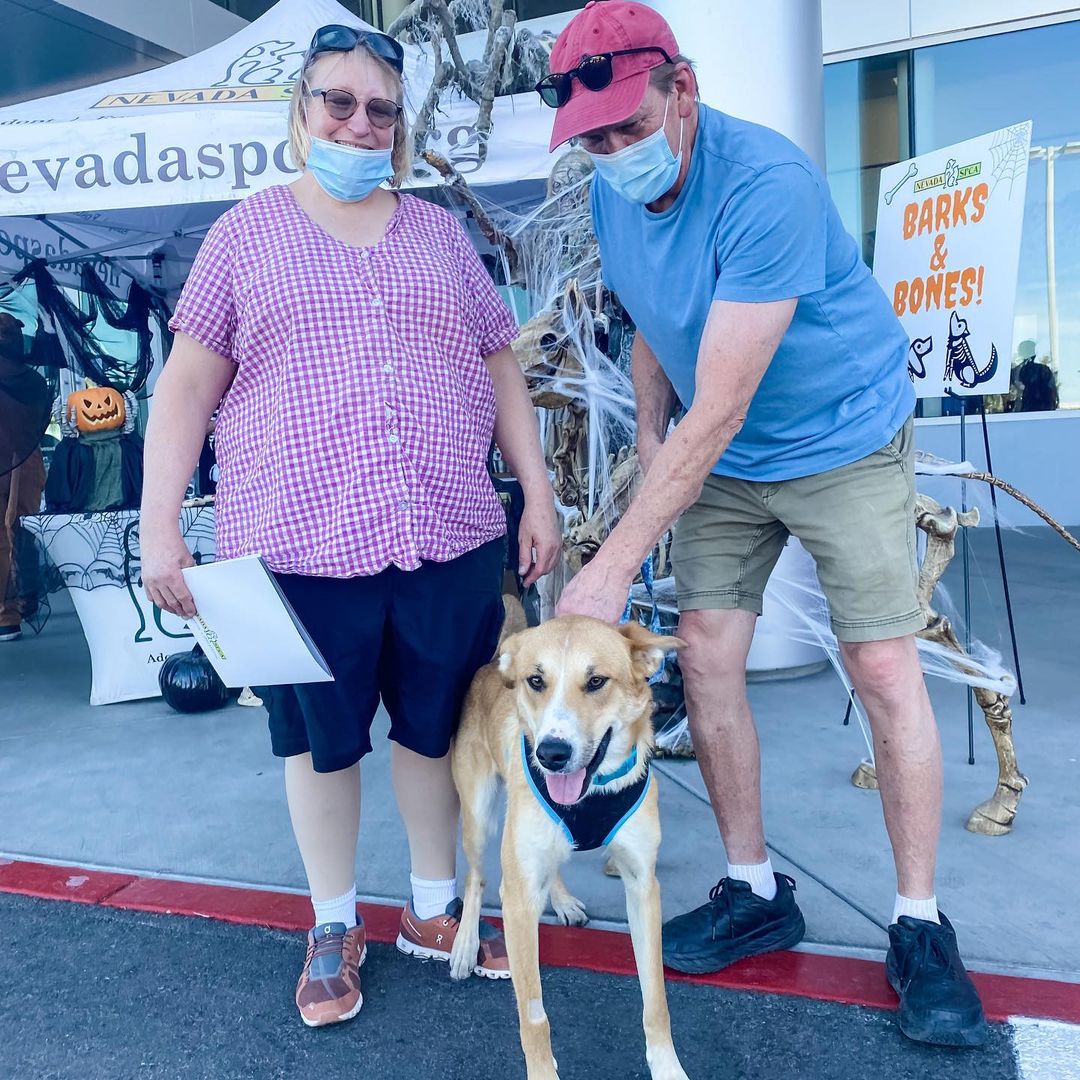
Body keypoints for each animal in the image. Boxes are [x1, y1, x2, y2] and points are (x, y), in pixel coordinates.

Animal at [449, 617, 686, 1080]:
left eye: (596, 681)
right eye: (535, 681)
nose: (551, 754)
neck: (594, 791)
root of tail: (493, 662)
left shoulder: (642, 886)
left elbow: (656, 1001)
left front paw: (668, 1068)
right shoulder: (518, 900)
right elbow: (534, 1015)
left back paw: (560, 899)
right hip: (479, 818)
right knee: (475, 876)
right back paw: (466, 943)